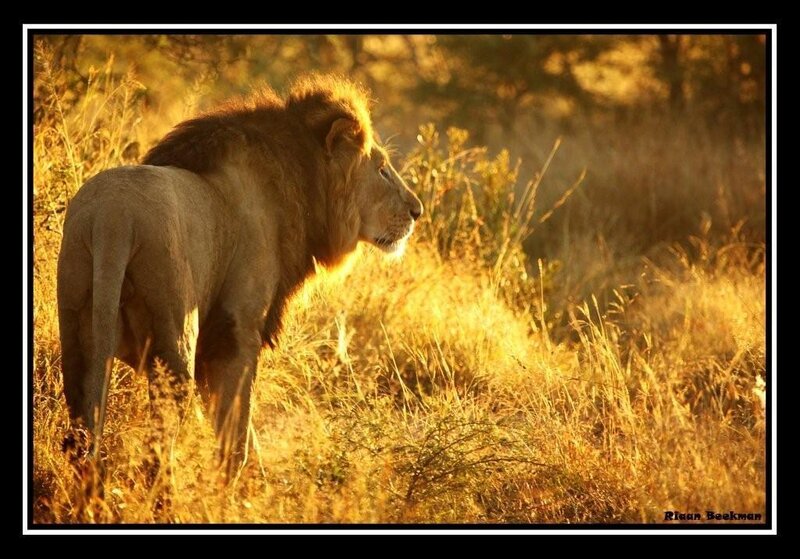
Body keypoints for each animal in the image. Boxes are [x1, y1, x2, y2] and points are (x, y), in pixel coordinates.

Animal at [56, 75, 423, 475]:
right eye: (383, 169)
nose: (417, 210)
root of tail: (113, 219)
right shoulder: (237, 329)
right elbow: (236, 424)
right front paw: (236, 481)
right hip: (176, 334)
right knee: (162, 442)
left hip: (77, 326)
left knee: (82, 431)